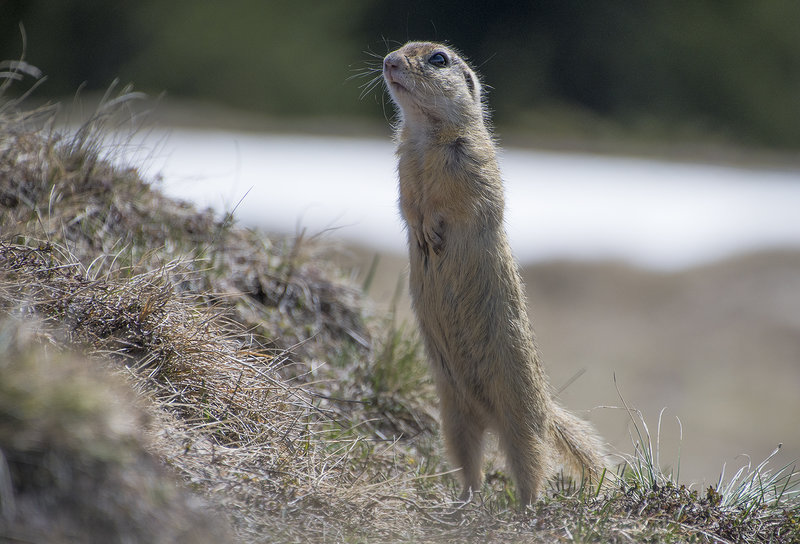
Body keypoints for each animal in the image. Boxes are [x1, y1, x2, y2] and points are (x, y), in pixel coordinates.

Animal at [382, 41, 605, 504]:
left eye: (438, 59)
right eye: (402, 48)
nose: (390, 62)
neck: (425, 133)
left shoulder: (471, 162)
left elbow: (458, 202)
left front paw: (434, 230)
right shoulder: (404, 167)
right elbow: (408, 202)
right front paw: (420, 230)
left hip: (519, 415)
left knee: (531, 466)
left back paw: (526, 507)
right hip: (453, 415)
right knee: (471, 462)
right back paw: (465, 500)